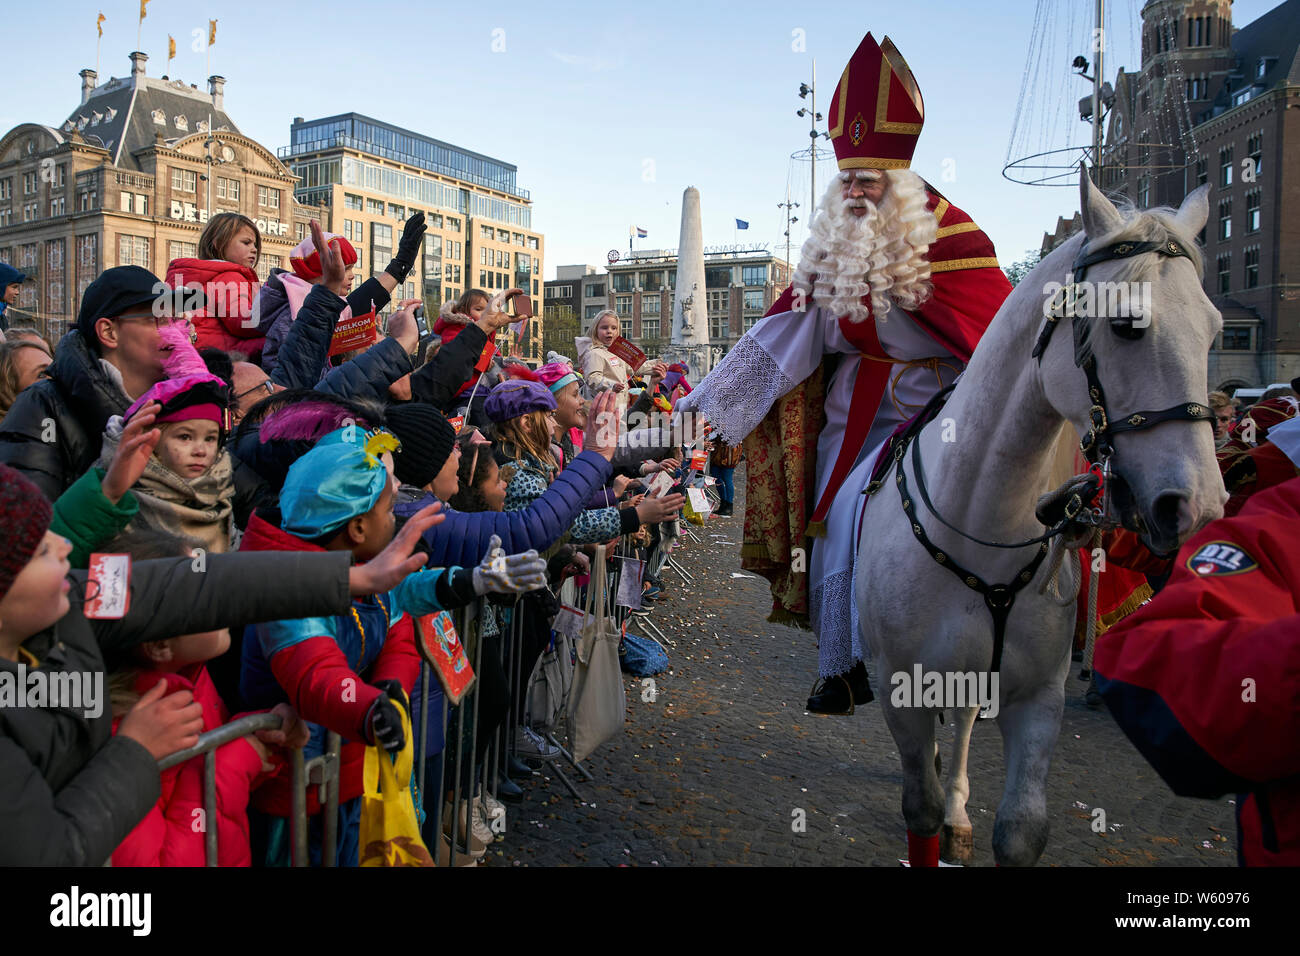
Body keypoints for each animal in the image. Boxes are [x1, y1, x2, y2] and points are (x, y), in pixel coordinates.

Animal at [857, 170, 1222, 868]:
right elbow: (918, 807)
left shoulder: (1036, 699)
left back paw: (959, 808)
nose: (1199, 505)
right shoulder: (900, 692)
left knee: (964, 726)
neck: (983, 522)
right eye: (1127, 325)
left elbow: (1021, 829)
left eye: (1217, 330)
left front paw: (964, 815)